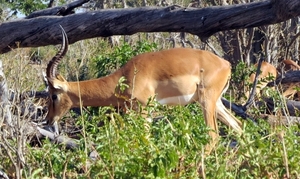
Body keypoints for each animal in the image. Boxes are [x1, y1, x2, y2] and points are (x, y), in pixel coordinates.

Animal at [45, 28, 243, 152]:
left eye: (54, 95)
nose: (48, 119)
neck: (125, 77)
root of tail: (225, 64)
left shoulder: (144, 111)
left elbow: (145, 140)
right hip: (217, 104)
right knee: (239, 127)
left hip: (206, 101)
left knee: (213, 136)